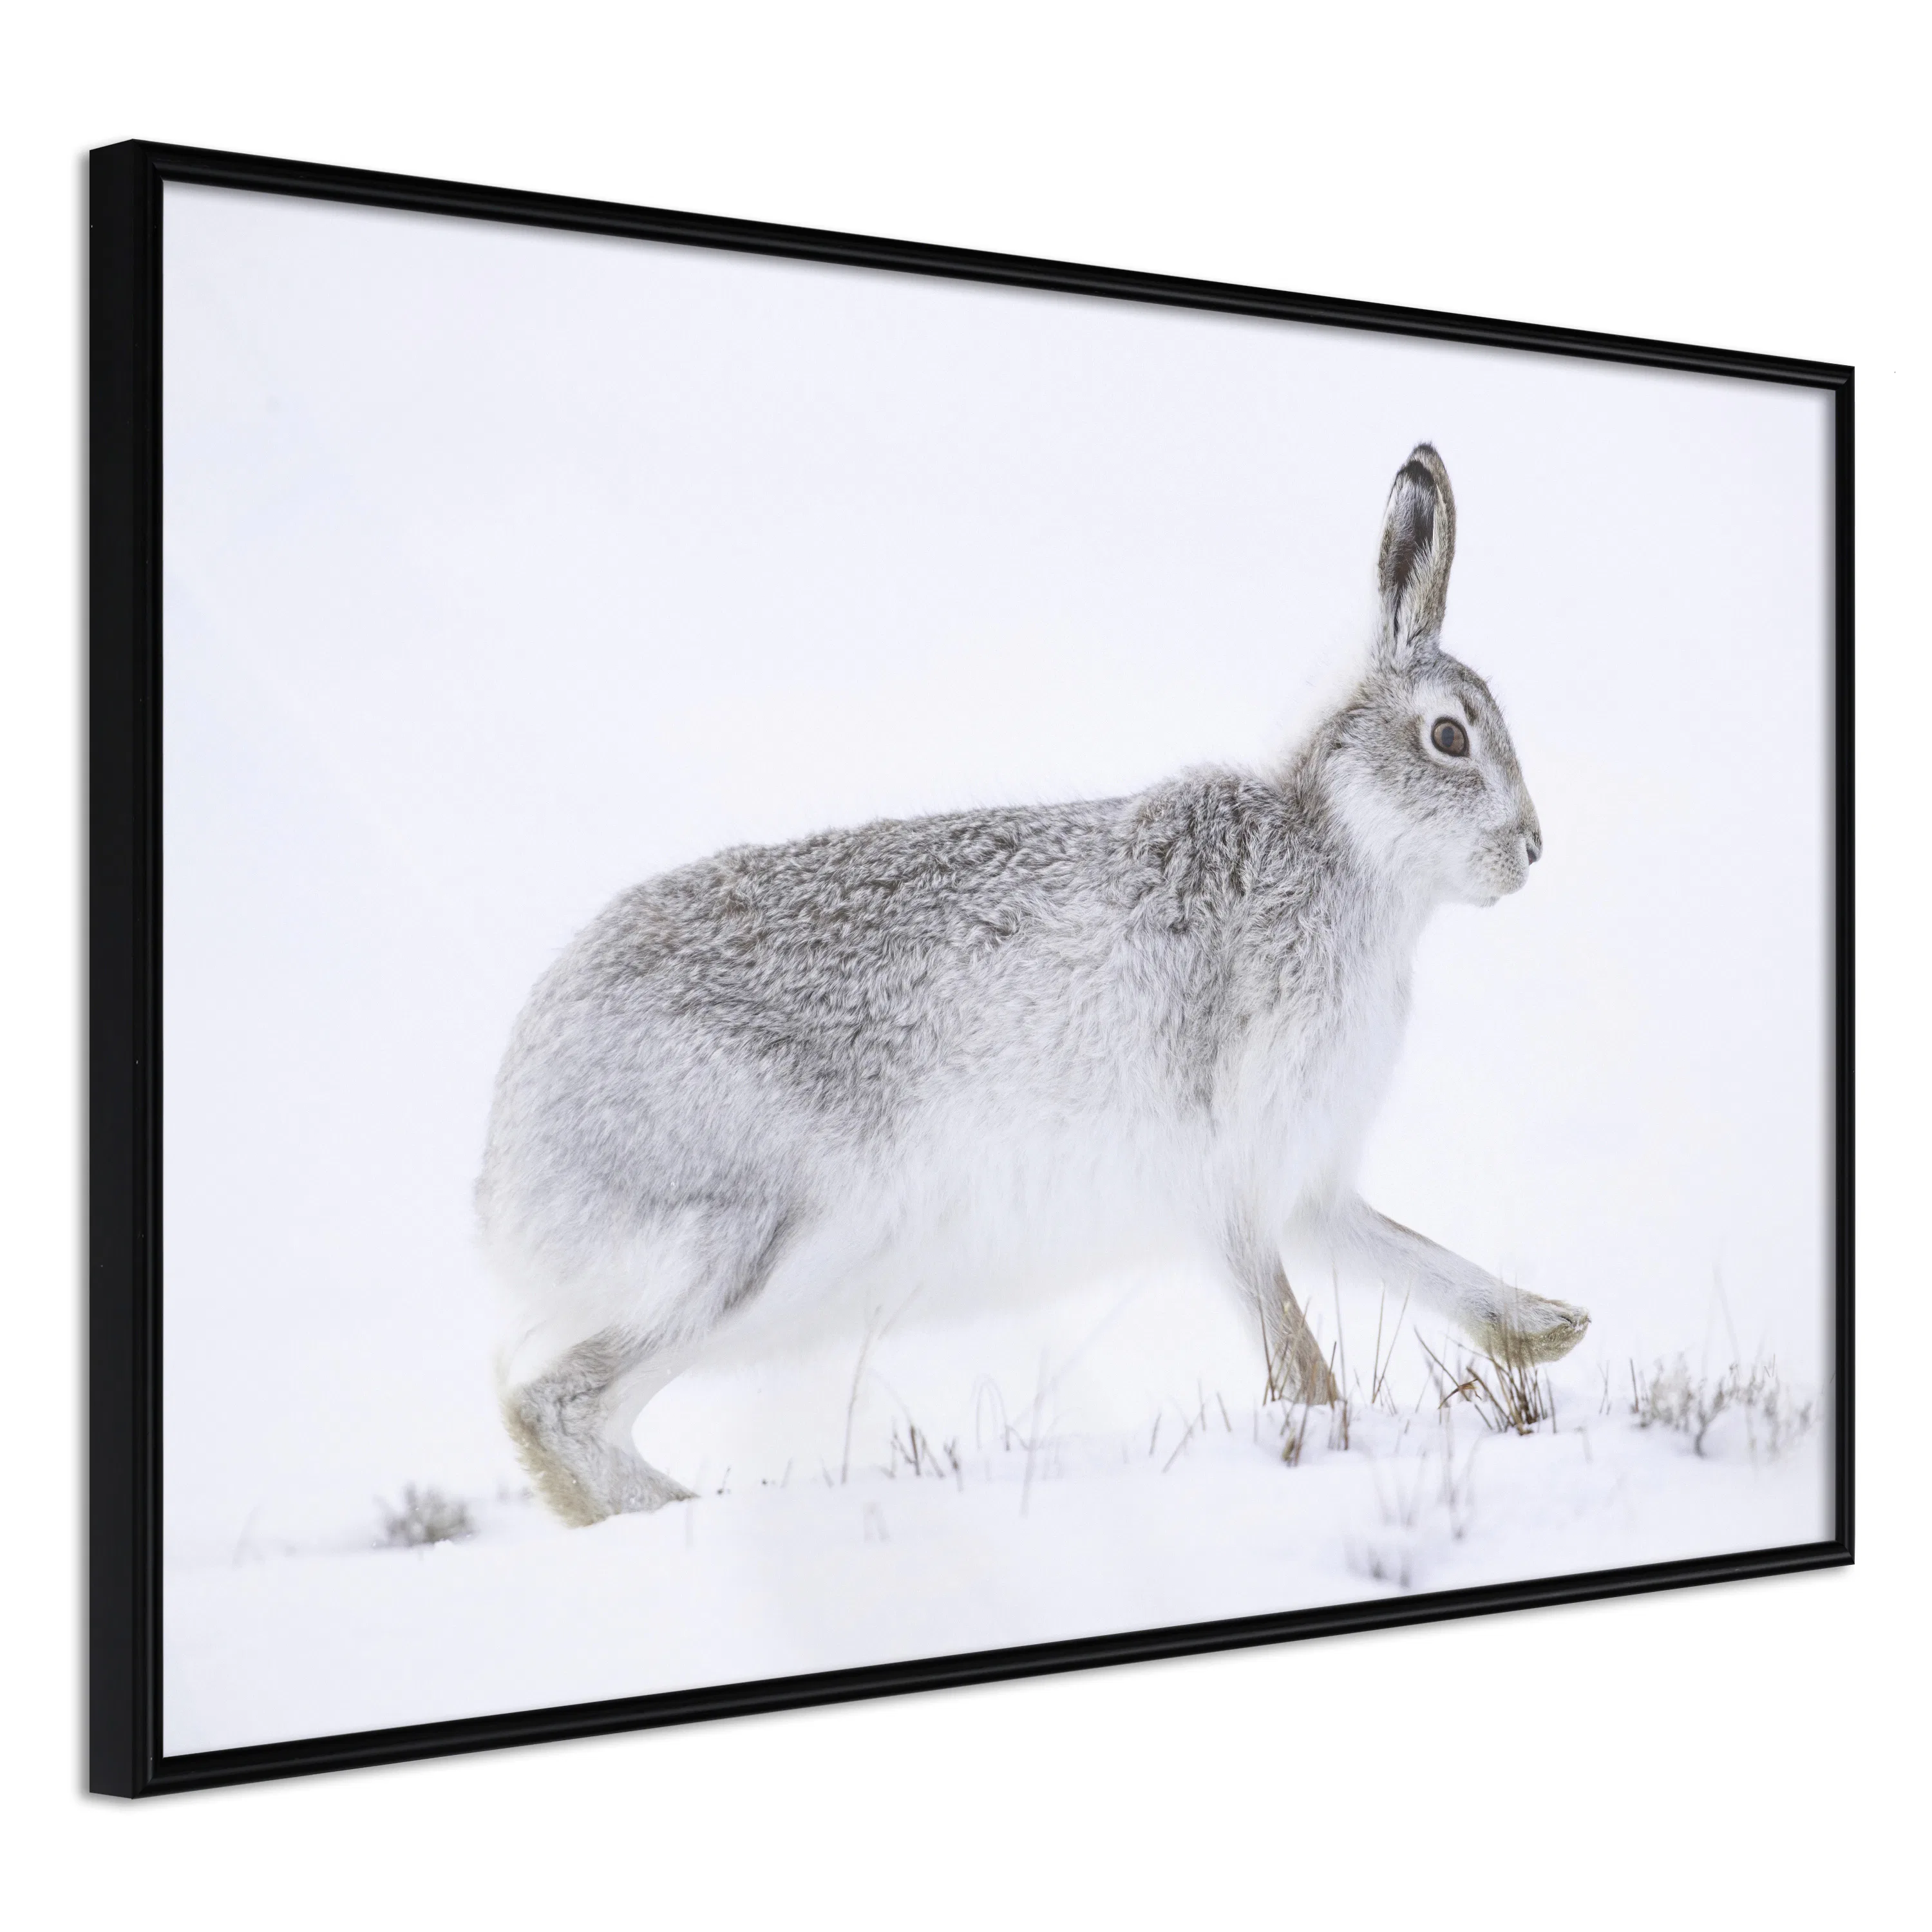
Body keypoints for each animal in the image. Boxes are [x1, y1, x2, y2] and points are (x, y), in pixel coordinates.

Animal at [478, 443, 1588, 1527]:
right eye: (1450, 737)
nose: (1534, 849)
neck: (1346, 852)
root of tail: (508, 1164)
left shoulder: (1308, 1183)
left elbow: (1410, 1254)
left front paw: (1550, 1329)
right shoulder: (1225, 1175)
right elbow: (1294, 1348)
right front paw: (1330, 1434)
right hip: (756, 1241)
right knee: (553, 1406)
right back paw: (690, 1513)